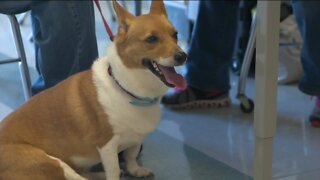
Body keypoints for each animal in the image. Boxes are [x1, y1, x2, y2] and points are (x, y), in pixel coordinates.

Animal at [0, 0, 188, 180]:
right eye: (151, 39)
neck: (126, 88)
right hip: (52, 162)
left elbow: (131, 156)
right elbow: (114, 170)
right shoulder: (107, 145)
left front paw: (135, 170)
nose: (182, 56)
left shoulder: (136, 137)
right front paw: (117, 173)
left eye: (175, 35)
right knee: (75, 177)